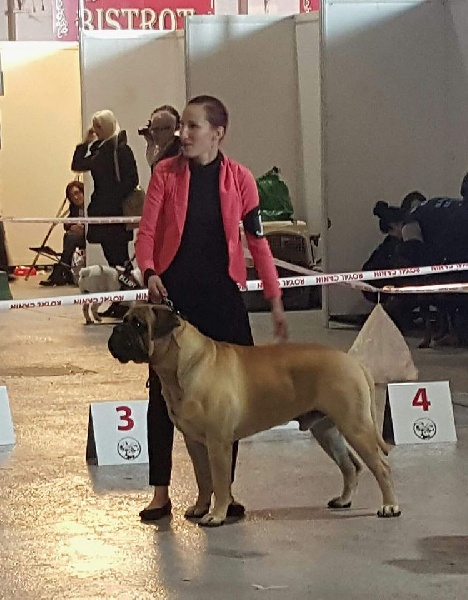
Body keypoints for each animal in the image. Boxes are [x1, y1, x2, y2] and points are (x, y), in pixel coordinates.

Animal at [108, 304, 401, 527]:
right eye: (124, 319)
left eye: (138, 325)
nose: (115, 330)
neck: (184, 365)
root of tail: (354, 362)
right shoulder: (195, 442)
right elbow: (203, 479)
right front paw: (200, 508)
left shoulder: (218, 443)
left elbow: (220, 481)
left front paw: (216, 515)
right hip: (328, 431)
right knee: (350, 465)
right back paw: (343, 500)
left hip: (355, 426)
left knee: (381, 467)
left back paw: (390, 507)